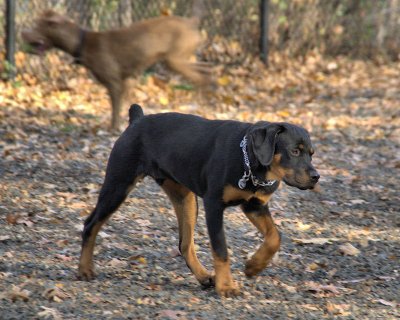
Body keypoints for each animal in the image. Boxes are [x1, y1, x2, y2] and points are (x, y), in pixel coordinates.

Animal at [22, 10, 209, 129]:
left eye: (37, 26)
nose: (23, 34)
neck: (82, 42)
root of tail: (190, 22)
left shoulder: (115, 83)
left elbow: (115, 110)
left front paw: (113, 129)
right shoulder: (128, 80)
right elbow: (122, 107)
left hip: (175, 61)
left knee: (200, 77)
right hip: (179, 60)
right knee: (207, 71)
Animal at [78, 105, 320, 298]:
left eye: (311, 153)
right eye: (294, 151)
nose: (316, 177)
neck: (251, 164)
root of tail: (137, 120)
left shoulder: (255, 206)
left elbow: (274, 237)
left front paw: (253, 267)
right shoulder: (213, 205)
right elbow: (221, 250)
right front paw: (227, 287)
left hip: (184, 197)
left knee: (185, 244)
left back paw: (204, 277)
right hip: (118, 184)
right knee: (91, 224)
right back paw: (84, 269)